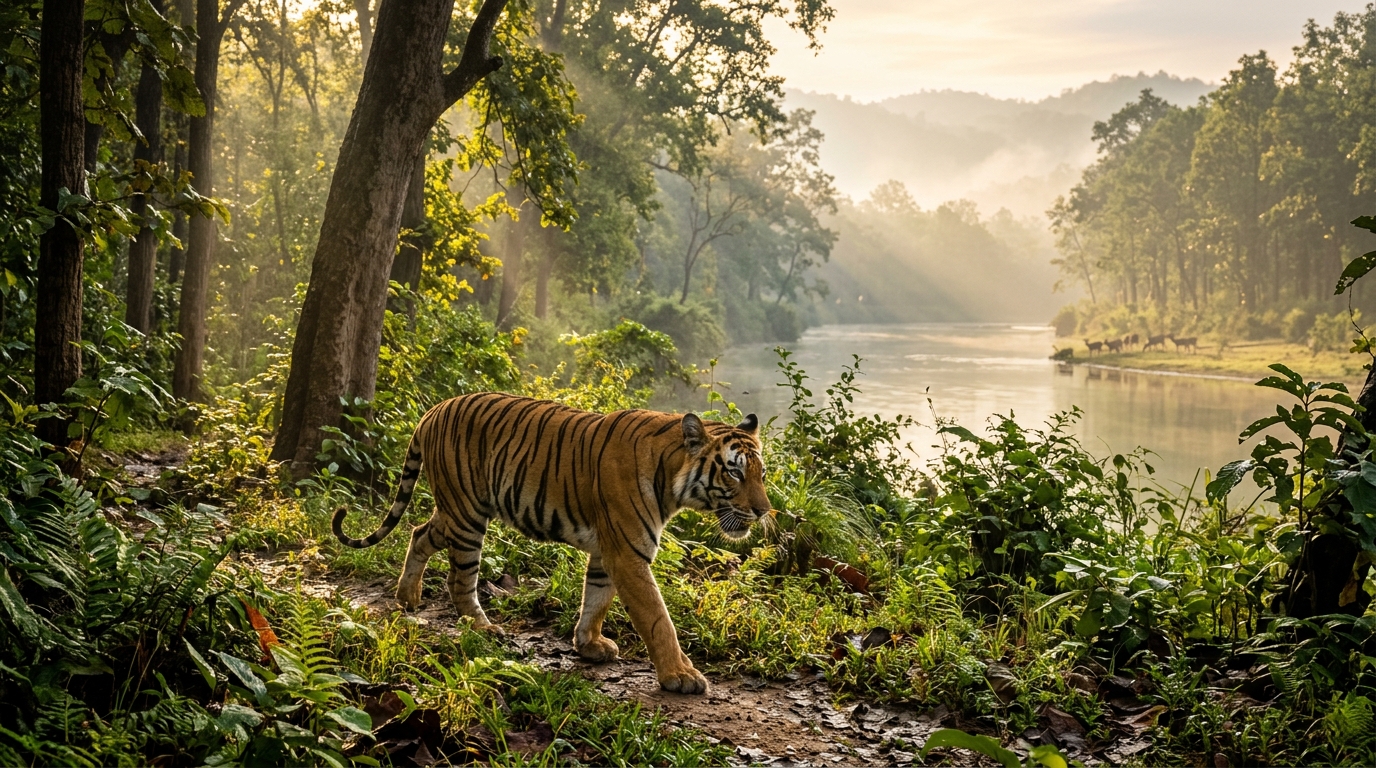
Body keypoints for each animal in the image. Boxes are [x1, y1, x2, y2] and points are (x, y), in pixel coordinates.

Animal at [331, 392, 771, 694]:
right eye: (734, 472)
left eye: (761, 473)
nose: (765, 510)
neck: (671, 476)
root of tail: (433, 410)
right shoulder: (628, 551)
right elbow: (657, 618)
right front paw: (680, 675)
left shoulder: (609, 551)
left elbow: (596, 599)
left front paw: (589, 645)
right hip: (467, 514)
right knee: (460, 579)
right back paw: (482, 627)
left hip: (456, 510)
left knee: (419, 533)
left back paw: (407, 597)